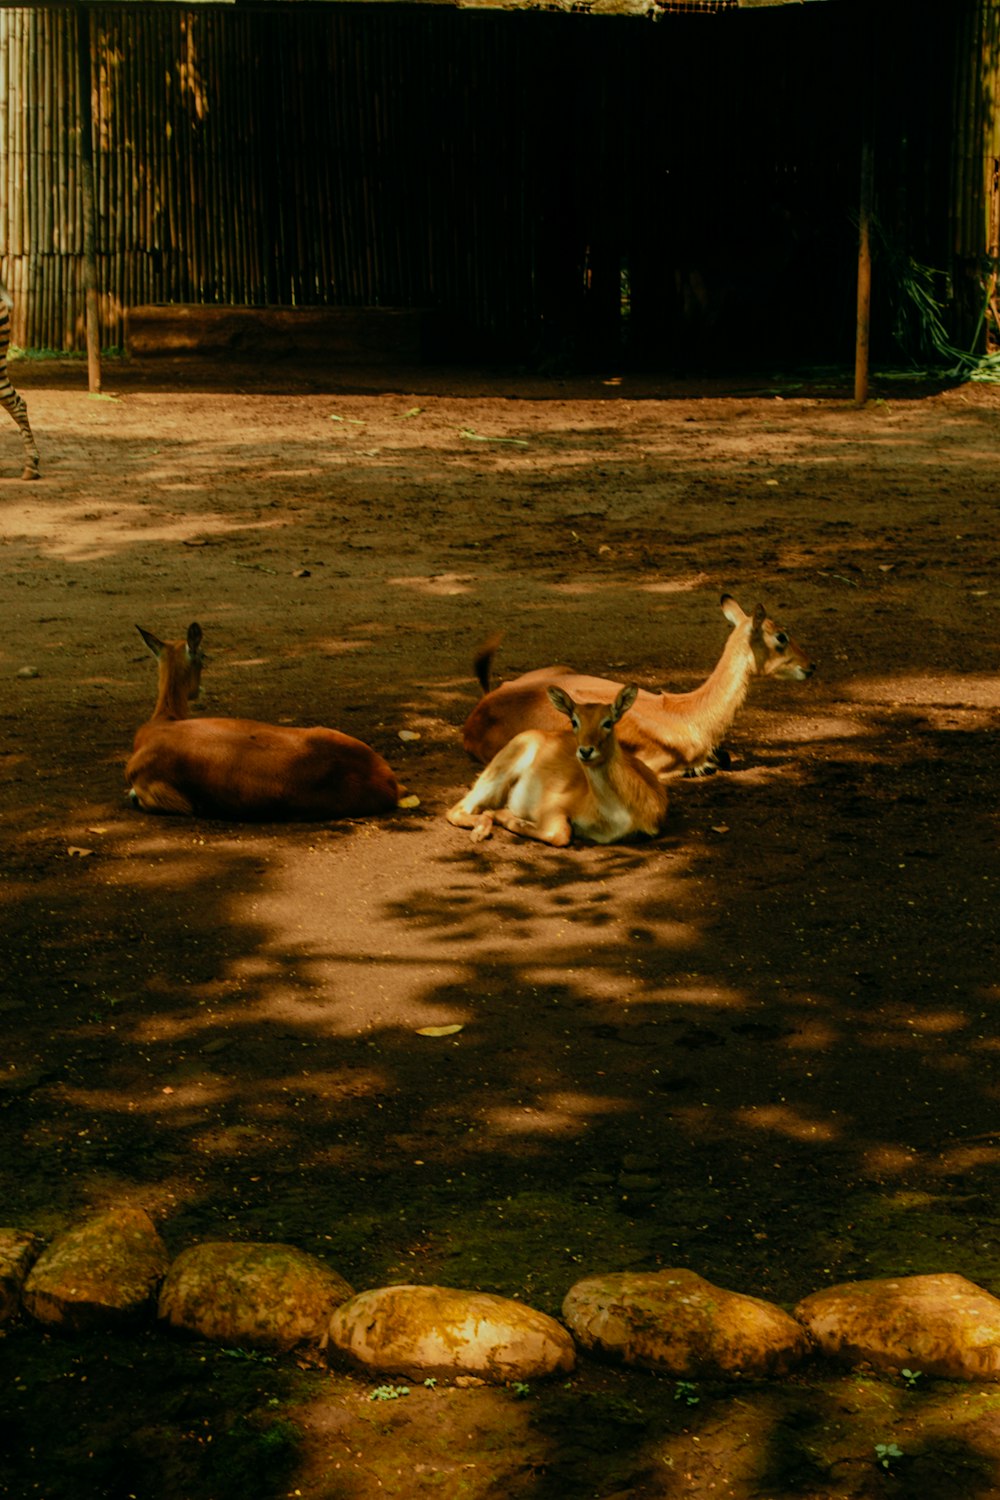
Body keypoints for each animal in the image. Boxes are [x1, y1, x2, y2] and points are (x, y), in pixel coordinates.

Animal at [446, 681, 668, 846]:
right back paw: (481, 830)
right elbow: (561, 834)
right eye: (574, 721)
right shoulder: (553, 806)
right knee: (457, 808)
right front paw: (504, 815)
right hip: (499, 771)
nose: (586, 750)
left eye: (608, 722)